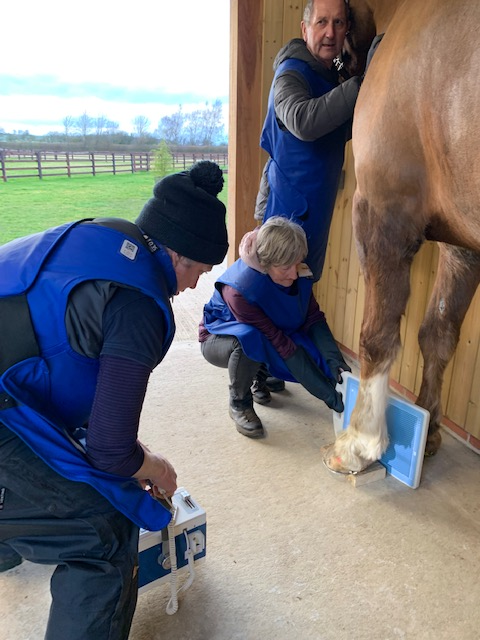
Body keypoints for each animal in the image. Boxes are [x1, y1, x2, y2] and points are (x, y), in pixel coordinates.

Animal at [322, 0, 480, 476]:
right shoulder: (462, 247)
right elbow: (438, 334)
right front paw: (430, 430)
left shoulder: (383, 215)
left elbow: (378, 334)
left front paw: (360, 441)